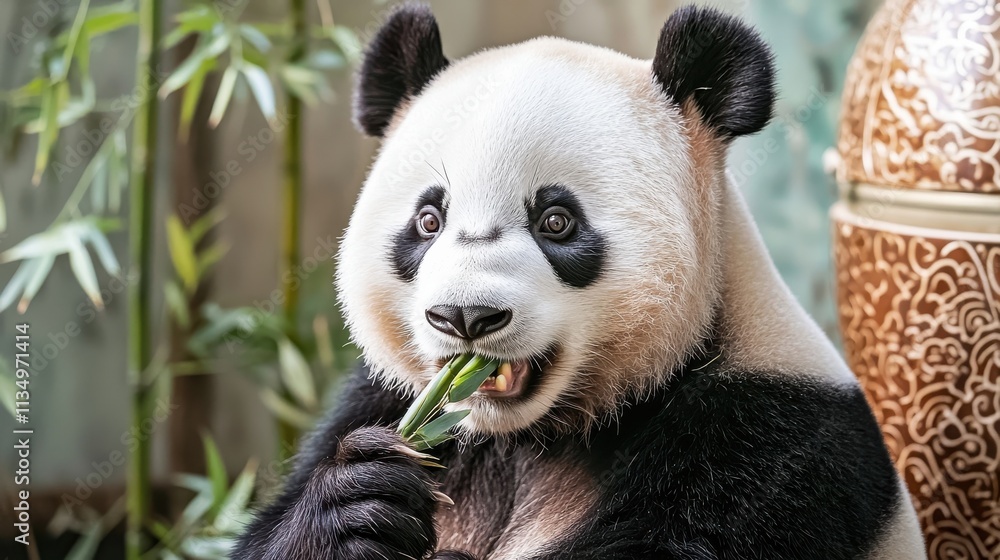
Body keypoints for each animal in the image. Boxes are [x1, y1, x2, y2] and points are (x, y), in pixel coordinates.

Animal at [236, 4, 926, 559]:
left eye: (556, 221)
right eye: (428, 220)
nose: (465, 317)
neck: (526, 437)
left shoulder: (765, 449)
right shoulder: (377, 403)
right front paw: (355, 504)